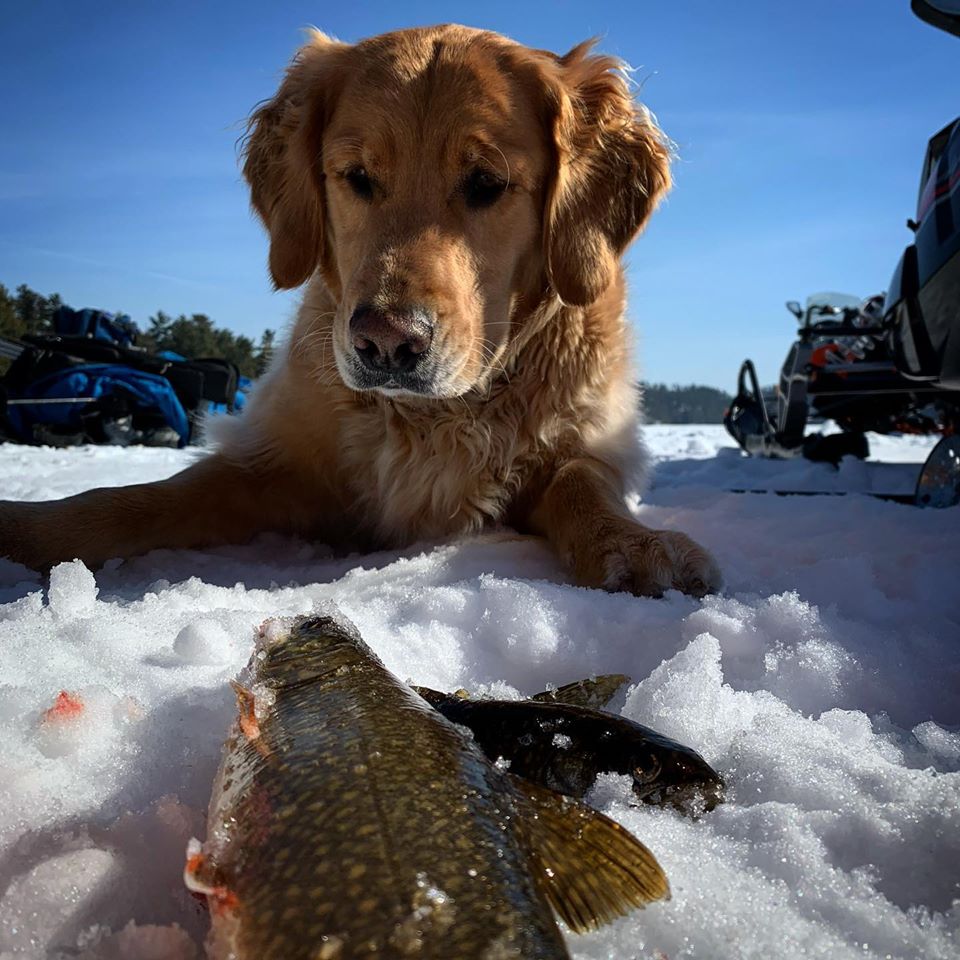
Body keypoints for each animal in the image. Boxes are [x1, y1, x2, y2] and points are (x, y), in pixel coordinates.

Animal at [0, 26, 720, 596]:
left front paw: (633, 543)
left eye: (487, 183)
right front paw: (24, 527)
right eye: (357, 177)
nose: (387, 343)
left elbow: (579, 477)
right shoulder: (270, 463)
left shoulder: (593, 440)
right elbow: (133, 500)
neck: (433, 418)